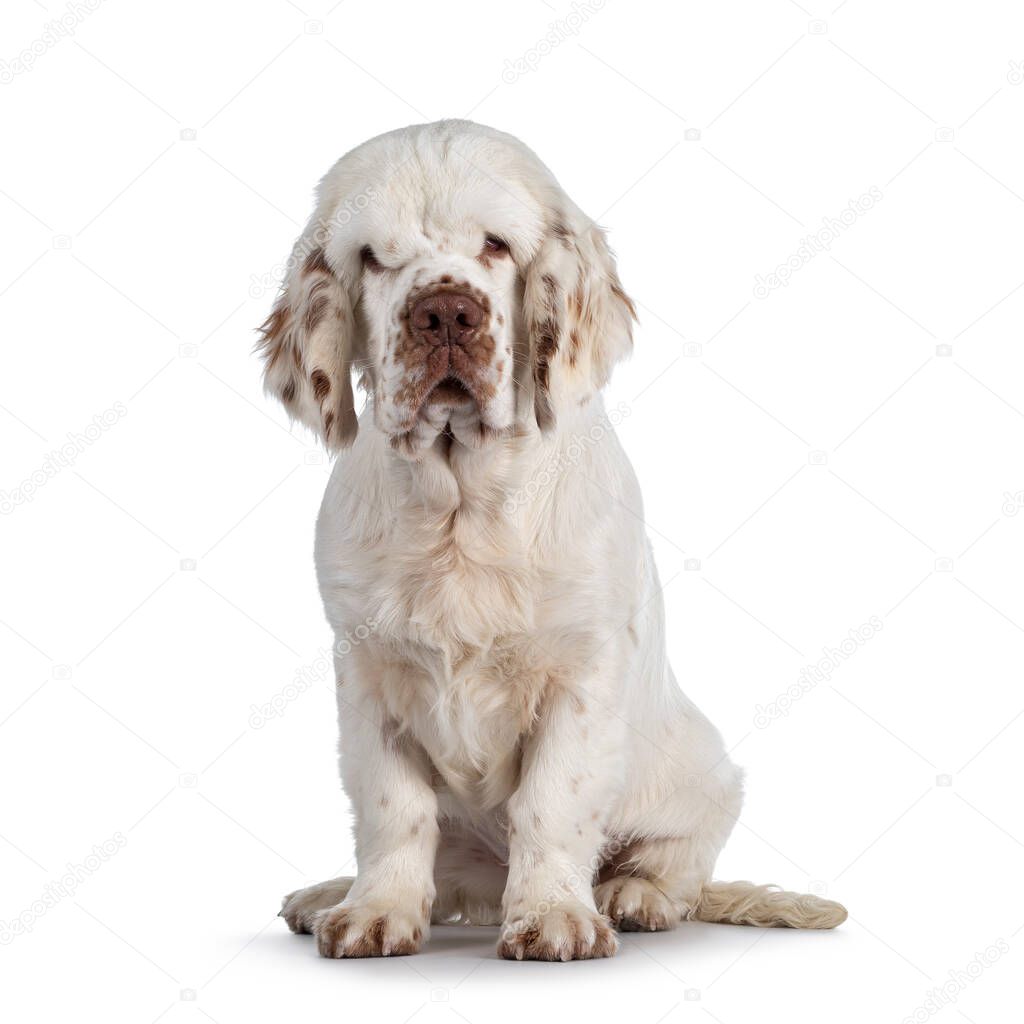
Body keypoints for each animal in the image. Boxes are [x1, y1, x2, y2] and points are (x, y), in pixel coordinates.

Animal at [264, 119, 847, 958]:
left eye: (497, 245)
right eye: (374, 258)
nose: (445, 314)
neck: (461, 503)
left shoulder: (582, 669)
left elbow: (553, 801)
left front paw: (554, 917)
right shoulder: (368, 671)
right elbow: (390, 806)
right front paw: (375, 911)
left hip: (706, 774)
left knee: (682, 865)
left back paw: (633, 895)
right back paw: (327, 895)